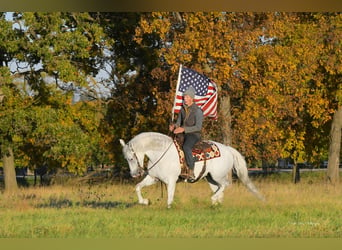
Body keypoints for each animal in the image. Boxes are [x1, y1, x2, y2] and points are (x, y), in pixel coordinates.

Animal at [119, 132, 266, 208]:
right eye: (125, 158)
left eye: (131, 158)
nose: (134, 174)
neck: (161, 153)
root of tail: (227, 149)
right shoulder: (153, 178)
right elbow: (138, 187)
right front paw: (145, 201)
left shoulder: (171, 181)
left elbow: (170, 197)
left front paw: (169, 208)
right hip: (210, 178)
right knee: (219, 189)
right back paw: (216, 204)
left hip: (218, 175)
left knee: (225, 185)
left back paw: (213, 199)